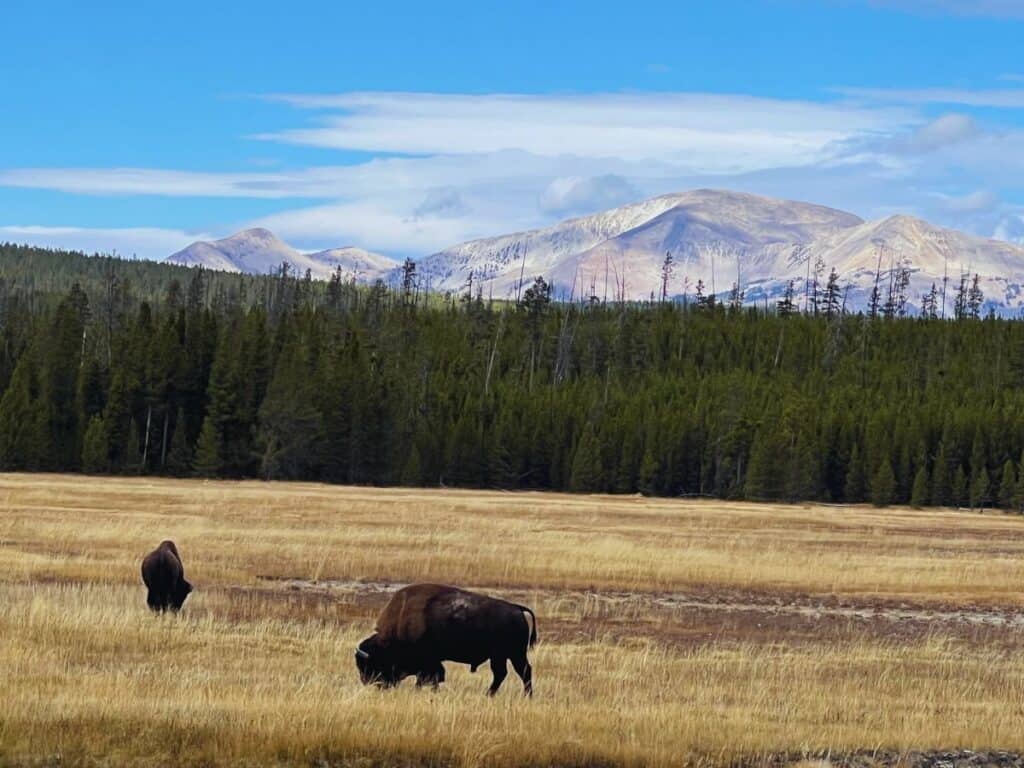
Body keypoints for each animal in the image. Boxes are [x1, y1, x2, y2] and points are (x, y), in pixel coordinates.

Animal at [355, 583, 537, 696]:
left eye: (369, 665)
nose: (366, 682)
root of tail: (516, 608)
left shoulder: (428, 662)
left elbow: (428, 678)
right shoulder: (433, 662)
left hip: (511, 654)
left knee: (520, 672)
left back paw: (521, 696)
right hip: (505, 656)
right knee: (506, 673)